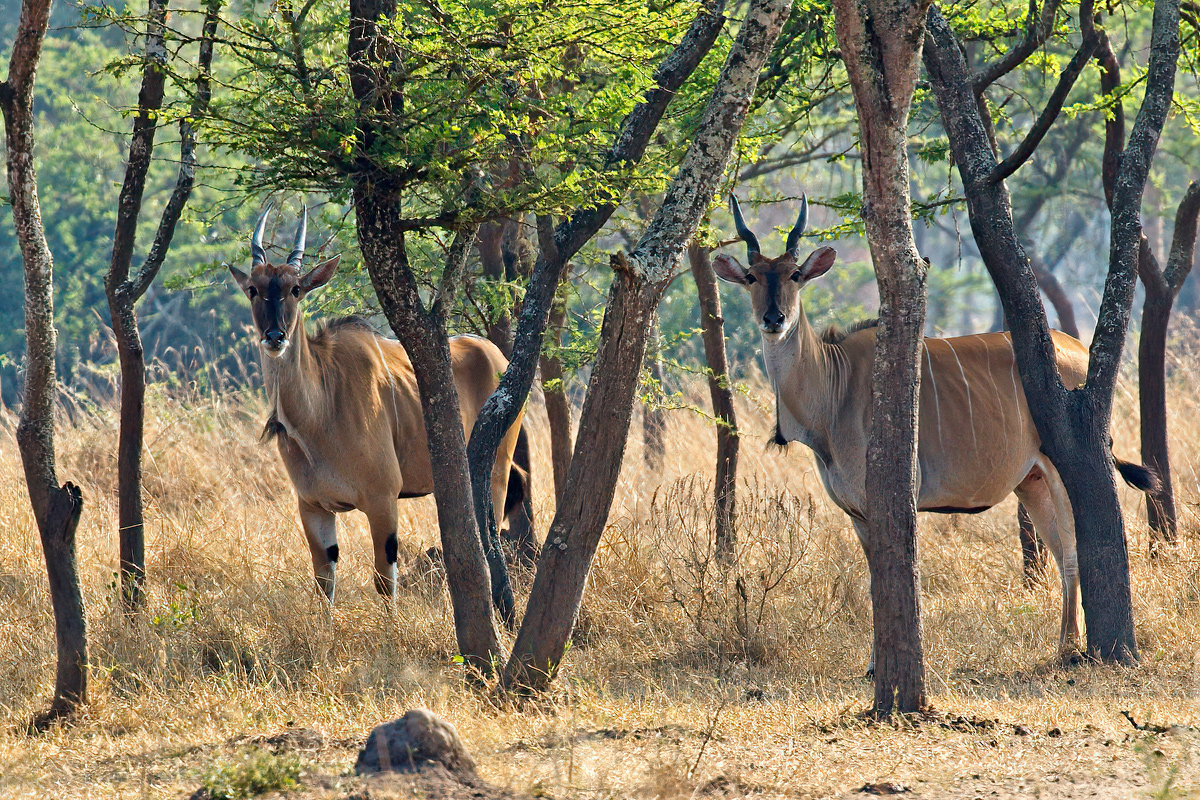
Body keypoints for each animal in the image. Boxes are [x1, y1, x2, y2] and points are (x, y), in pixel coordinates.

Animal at [229, 209, 530, 604]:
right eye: (254, 289)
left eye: (295, 288)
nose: (275, 336)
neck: (321, 413)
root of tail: (496, 354)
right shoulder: (312, 507)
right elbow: (324, 583)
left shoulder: (383, 500)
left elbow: (385, 581)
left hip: (494, 471)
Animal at [705, 195, 1156, 662]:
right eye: (752, 277)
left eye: (794, 275)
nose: (773, 318)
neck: (834, 384)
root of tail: (1080, 351)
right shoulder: (858, 512)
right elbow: (877, 582)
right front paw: (873, 665)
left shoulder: (895, 499)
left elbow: (893, 581)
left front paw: (879, 664)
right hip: (1030, 481)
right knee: (1061, 550)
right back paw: (1066, 641)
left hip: (1061, 470)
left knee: (1070, 553)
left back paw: (1068, 648)